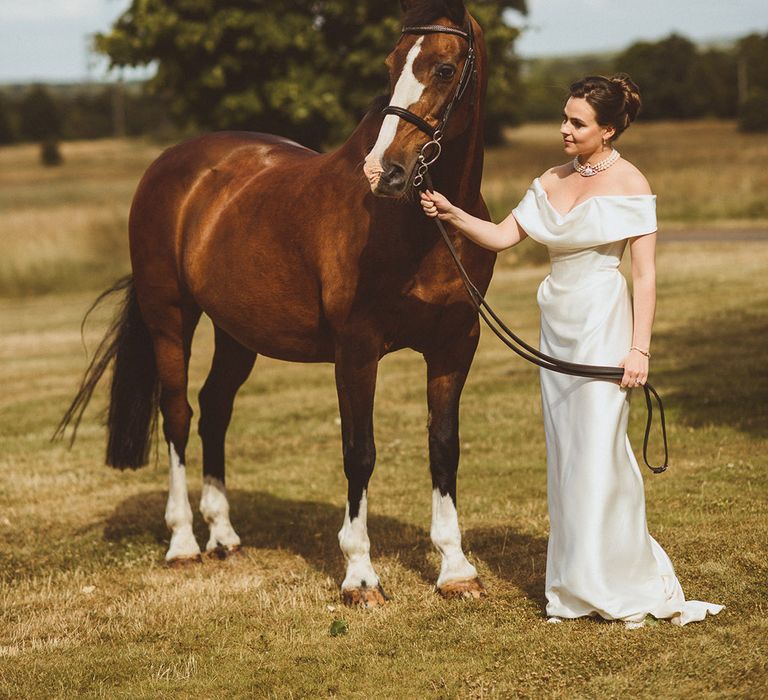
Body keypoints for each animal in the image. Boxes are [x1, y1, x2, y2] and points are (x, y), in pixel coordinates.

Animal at [58, 0, 492, 604]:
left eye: (445, 69)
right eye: (389, 66)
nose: (385, 172)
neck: (421, 229)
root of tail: (169, 165)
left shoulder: (455, 345)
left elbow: (444, 448)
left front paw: (456, 570)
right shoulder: (356, 351)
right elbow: (359, 452)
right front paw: (360, 577)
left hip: (237, 333)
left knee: (215, 409)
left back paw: (223, 535)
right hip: (170, 318)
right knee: (178, 415)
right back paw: (183, 543)